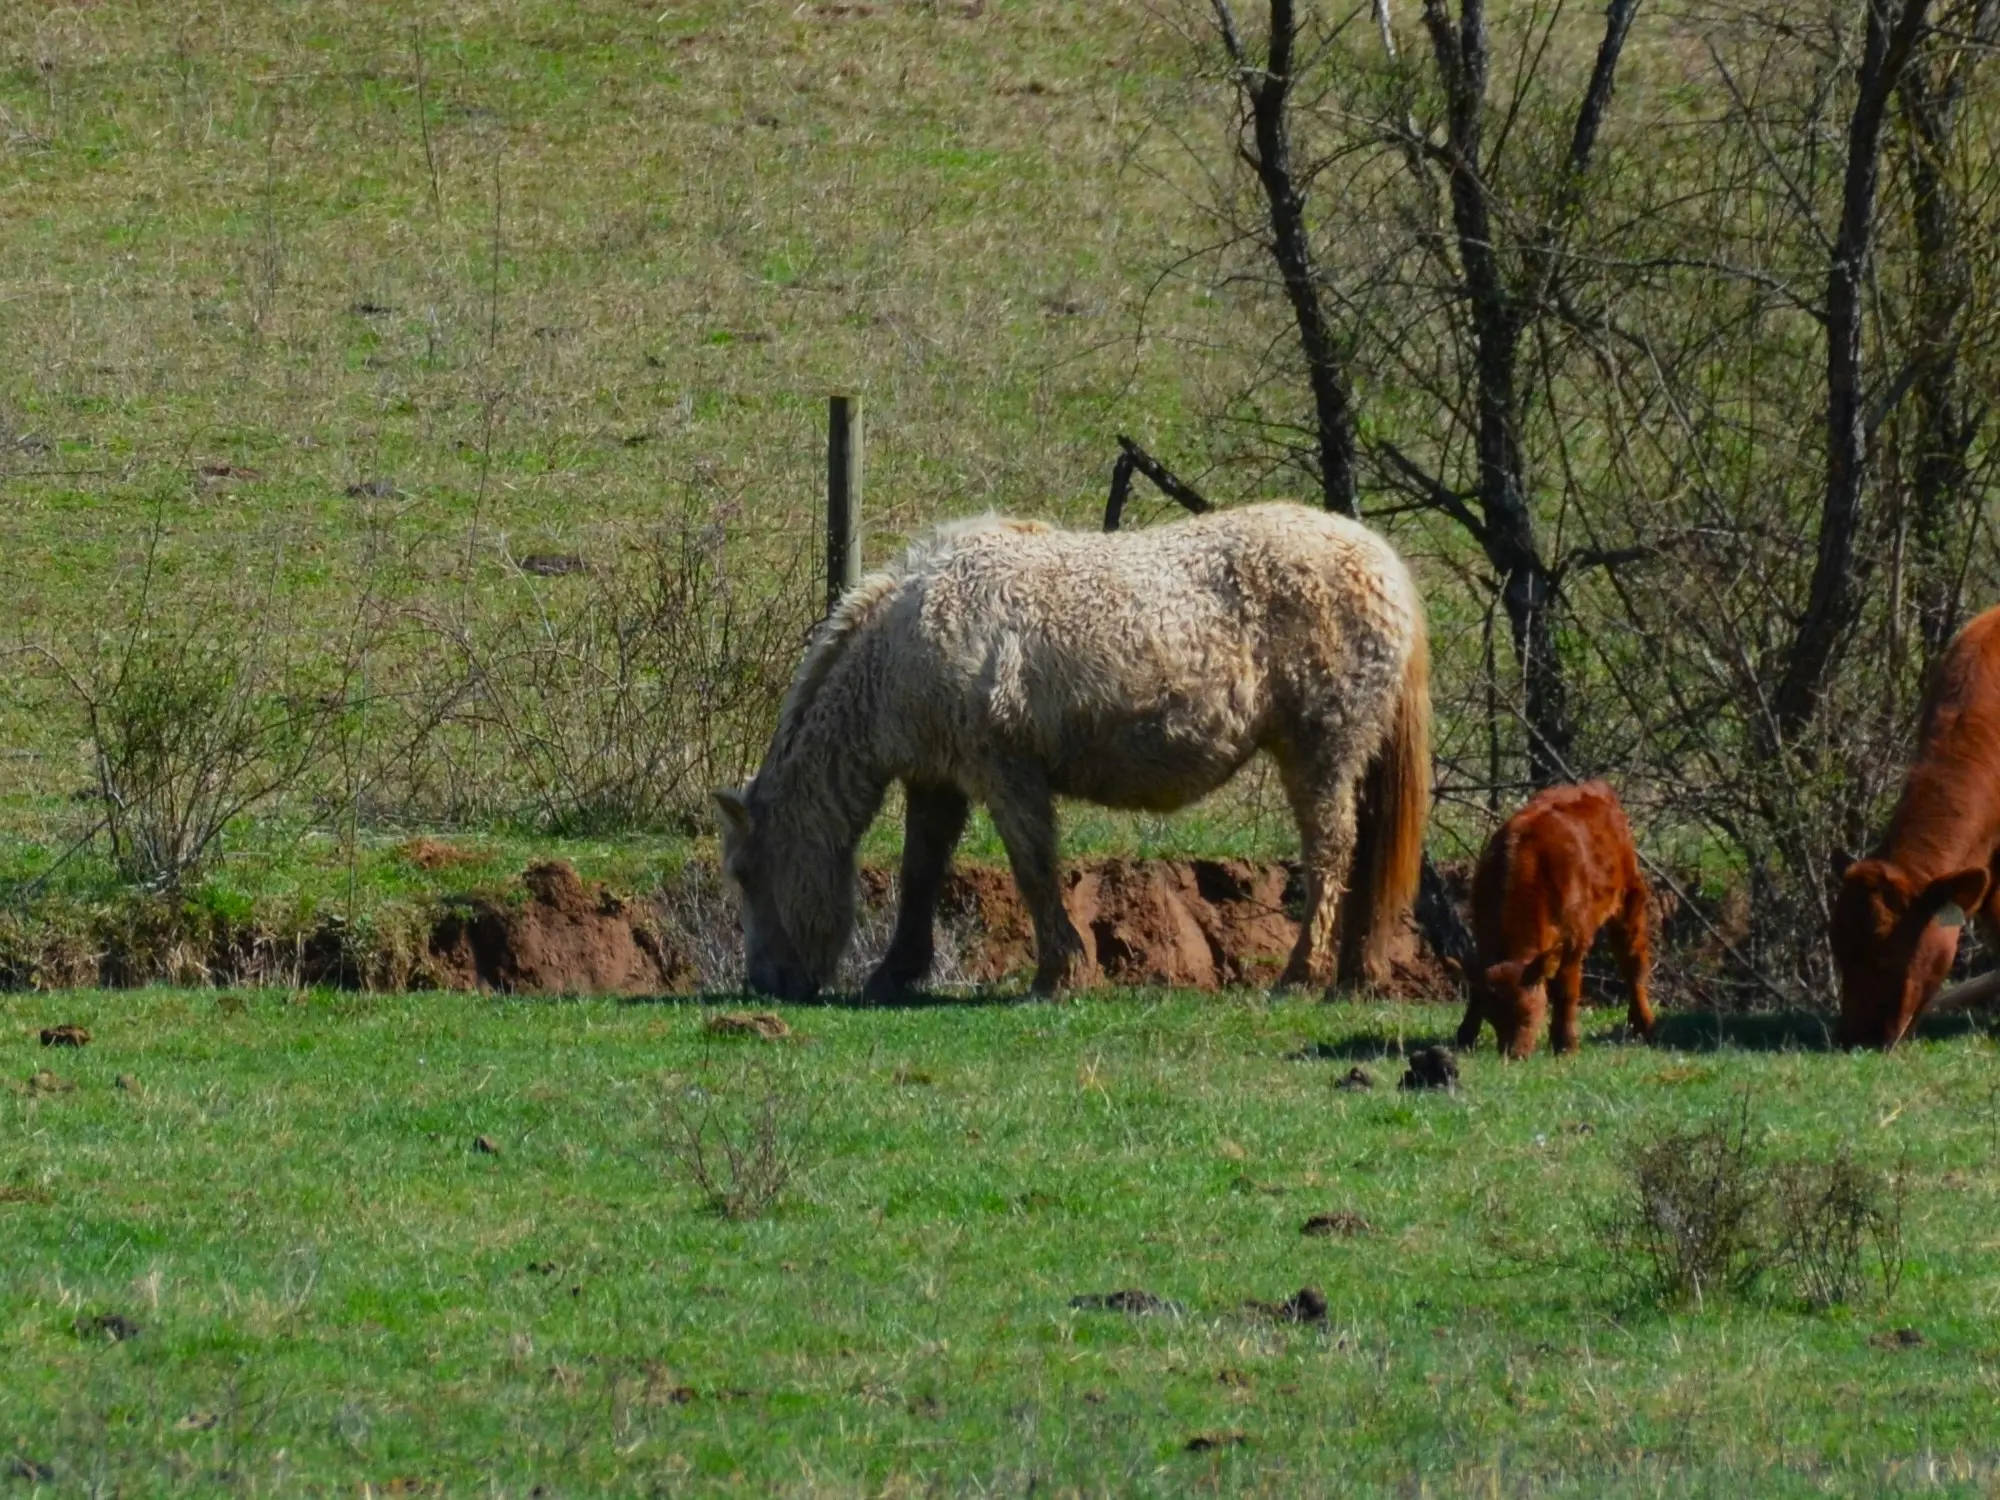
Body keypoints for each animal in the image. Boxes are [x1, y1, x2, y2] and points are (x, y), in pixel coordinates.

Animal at [1456, 780, 1656, 1064]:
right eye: (1492, 1018)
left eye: (1529, 1014)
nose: (1513, 1054)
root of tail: (1594, 787)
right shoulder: (1481, 933)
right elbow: (1476, 986)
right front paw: (1465, 1036)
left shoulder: (1575, 937)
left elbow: (1566, 989)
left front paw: (1565, 1044)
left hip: (1630, 898)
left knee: (1633, 962)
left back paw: (1643, 1025)